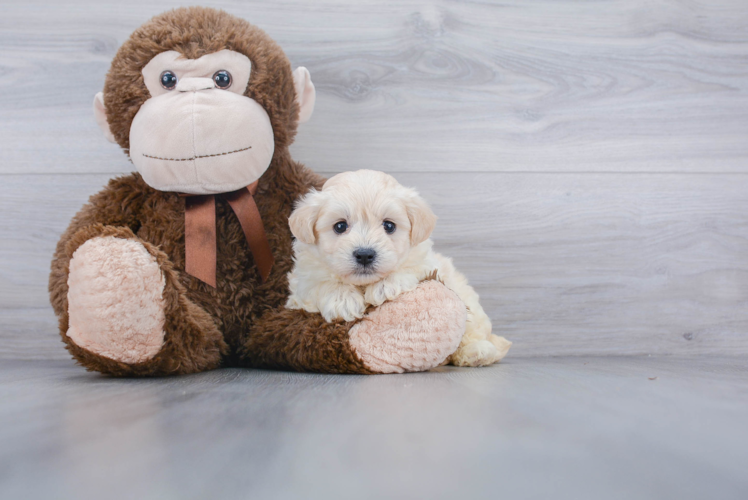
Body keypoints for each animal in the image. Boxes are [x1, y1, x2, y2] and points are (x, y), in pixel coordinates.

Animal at [284, 172, 512, 368]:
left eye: (389, 226)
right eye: (340, 226)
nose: (365, 254)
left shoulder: (425, 262)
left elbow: (410, 267)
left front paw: (385, 286)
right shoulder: (301, 282)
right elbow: (319, 282)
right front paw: (342, 300)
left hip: (467, 301)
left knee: (473, 330)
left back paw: (476, 352)